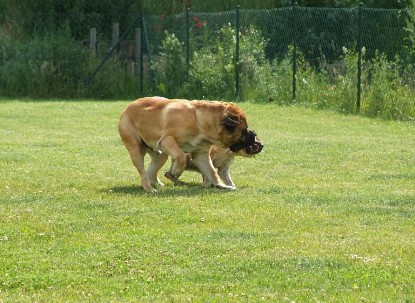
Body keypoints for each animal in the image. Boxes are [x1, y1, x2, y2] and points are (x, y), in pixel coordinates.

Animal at [118, 97, 258, 192]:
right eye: (244, 129)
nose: (254, 133)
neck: (199, 122)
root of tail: (127, 108)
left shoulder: (202, 155)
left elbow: (212, 171)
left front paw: (222, 185)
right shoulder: (167, 140)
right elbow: (180, 156)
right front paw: (175, 171)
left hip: (160, 155)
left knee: (152, 167)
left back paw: (155, 183)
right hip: (136, 148)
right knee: (142, 171)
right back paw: (149, 188)